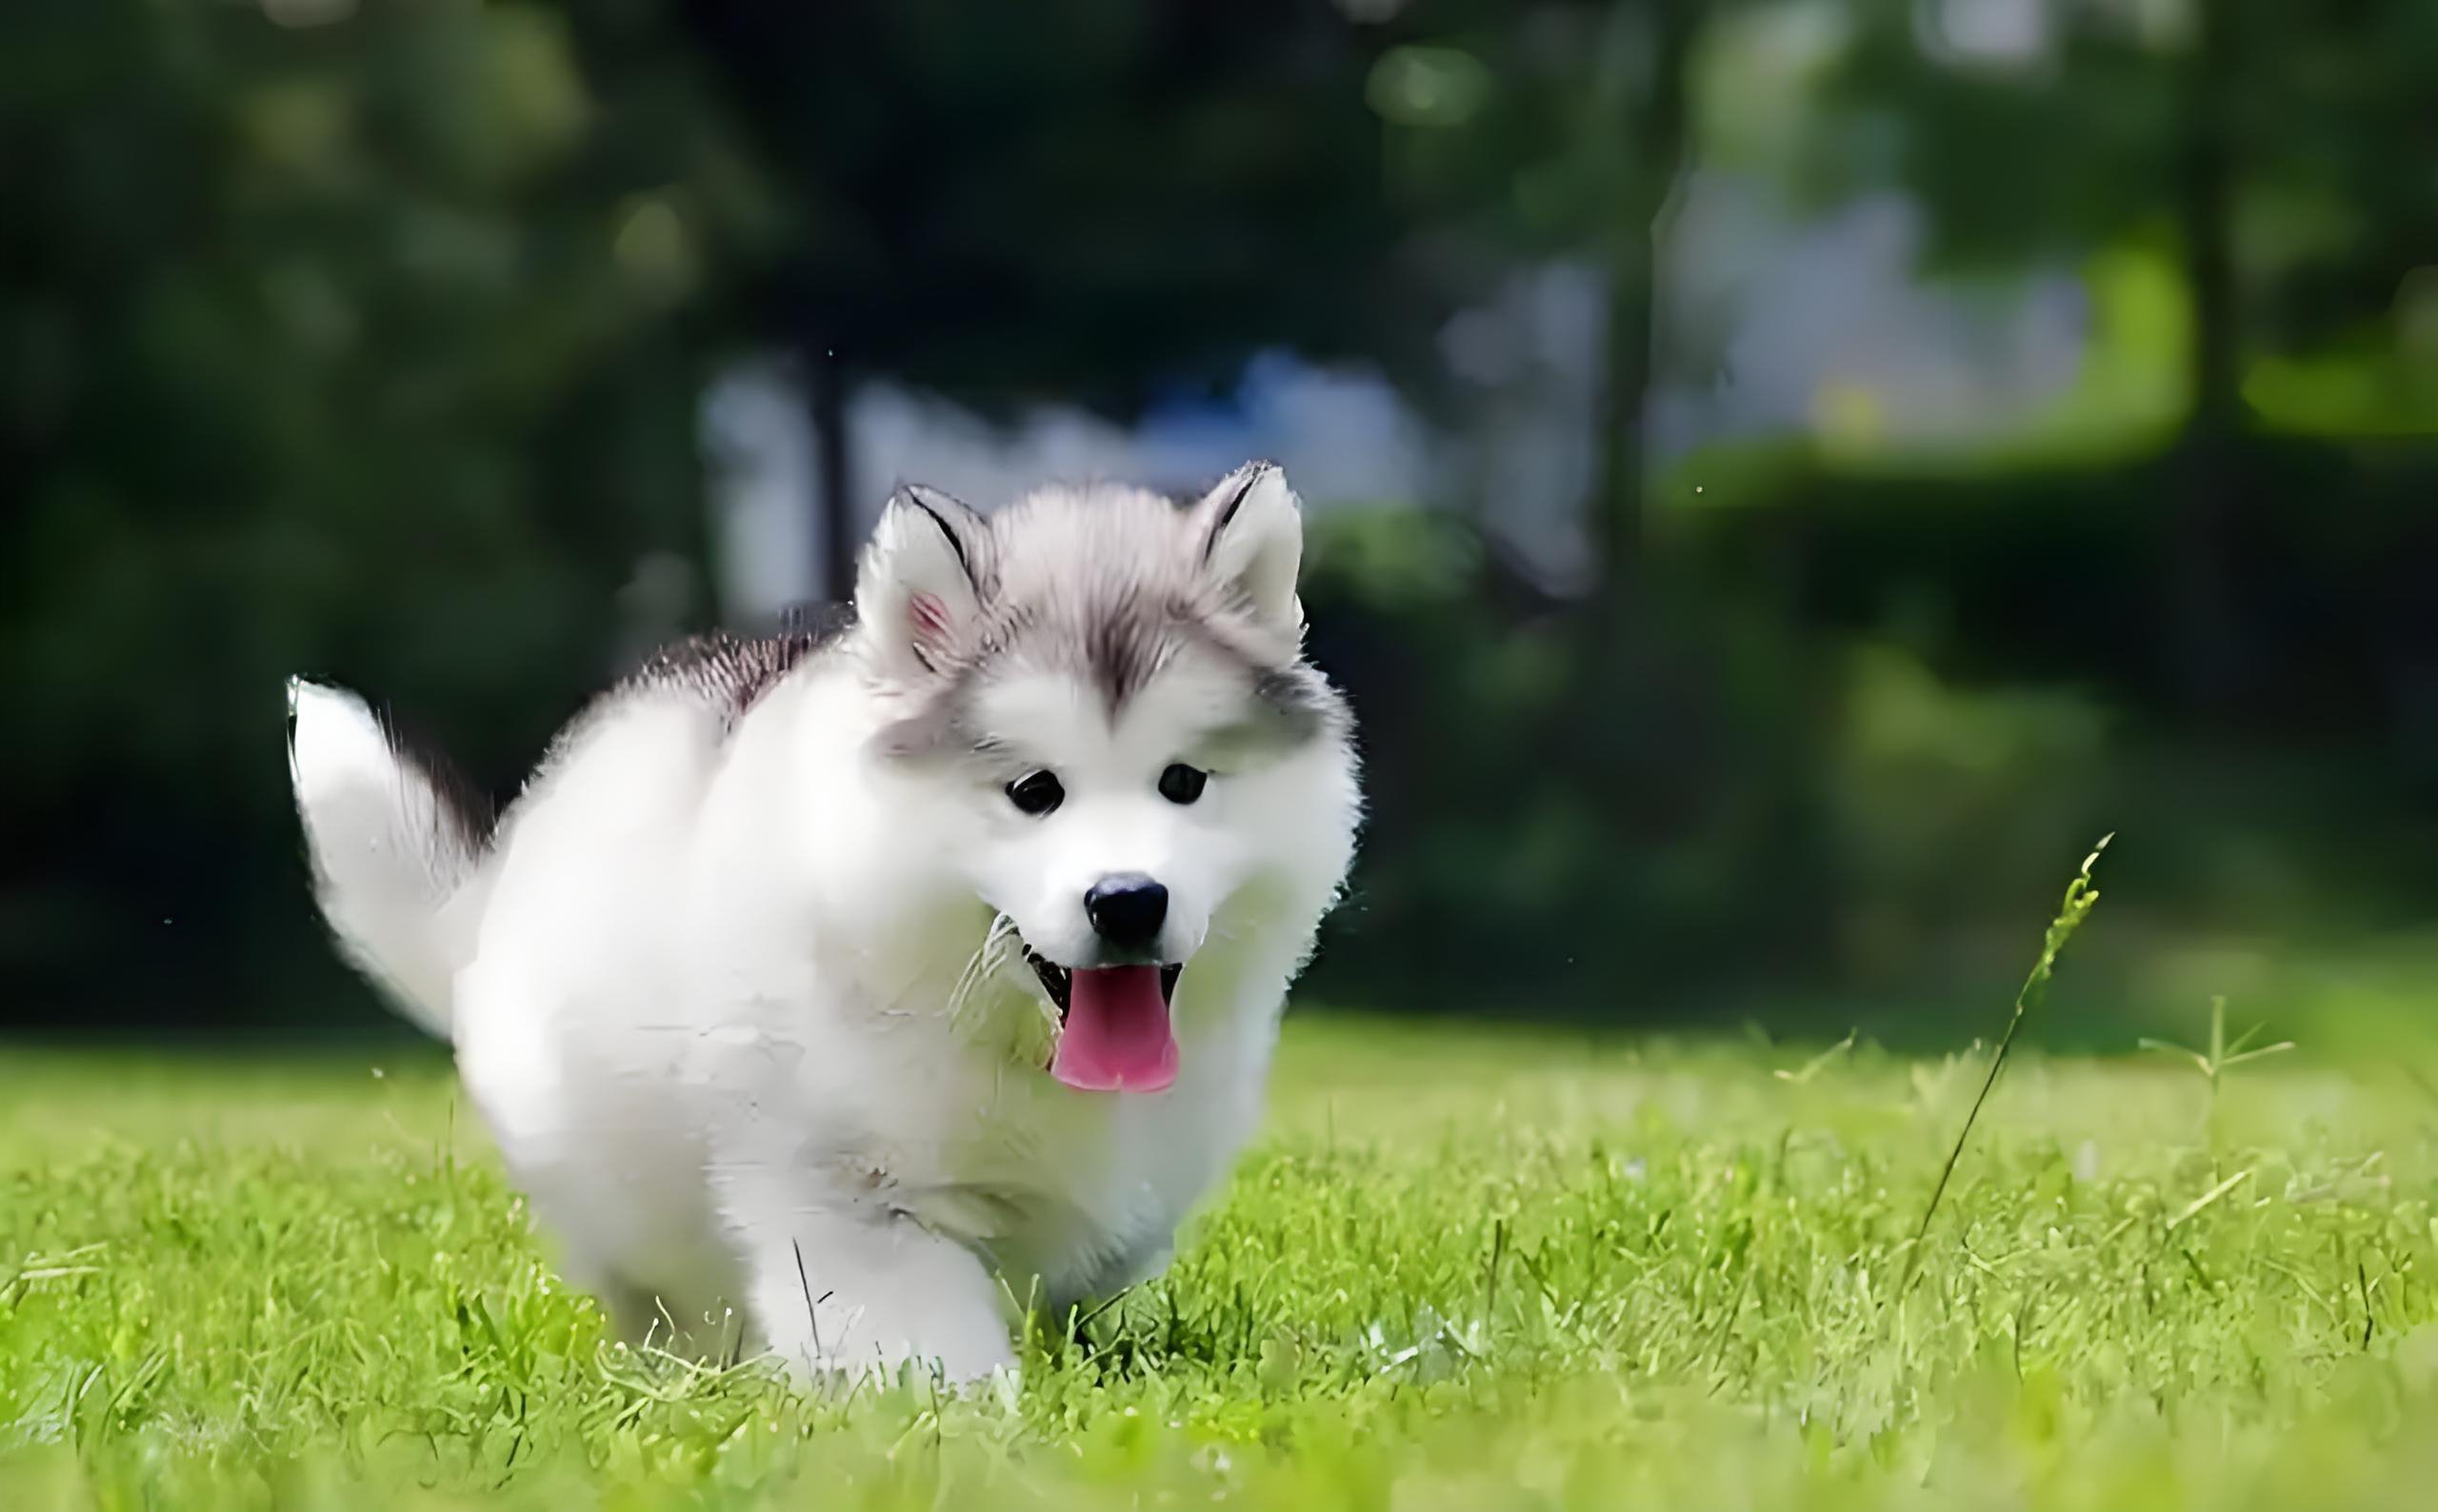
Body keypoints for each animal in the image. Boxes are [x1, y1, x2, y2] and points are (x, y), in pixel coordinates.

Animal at [288, 463, 1365, 1384]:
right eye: (1033, 791)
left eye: (1183, 782)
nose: (1128, 899)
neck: (1002, 1041)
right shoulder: (852, 1195)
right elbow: (922, 1339)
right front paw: (965, 1423)